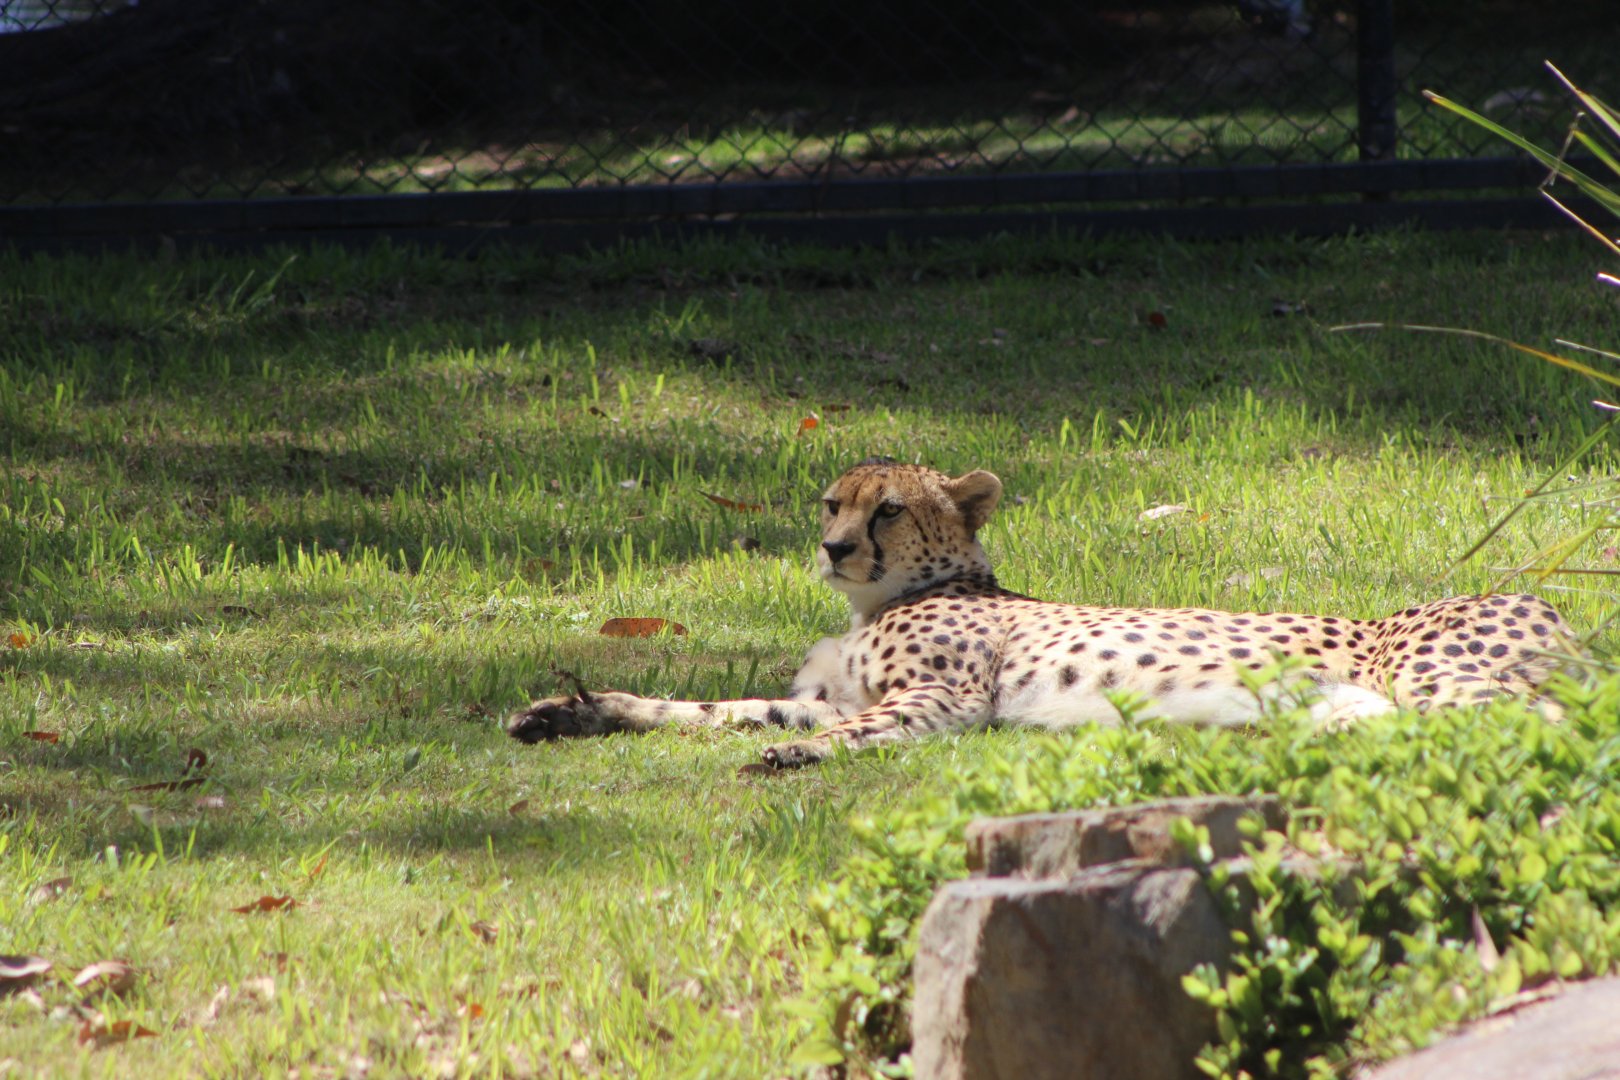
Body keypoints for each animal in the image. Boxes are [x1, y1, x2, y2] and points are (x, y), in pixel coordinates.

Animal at [506, 457, 1580, 767]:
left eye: (885, 510)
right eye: (830, 503)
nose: (833, 549)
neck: (879, 601)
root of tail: (1546, 603)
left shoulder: (943, 701)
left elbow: (848, 728)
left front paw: (795, 755)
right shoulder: (823, 690)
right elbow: (701, 711)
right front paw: (573, 710)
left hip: (1443, 677)